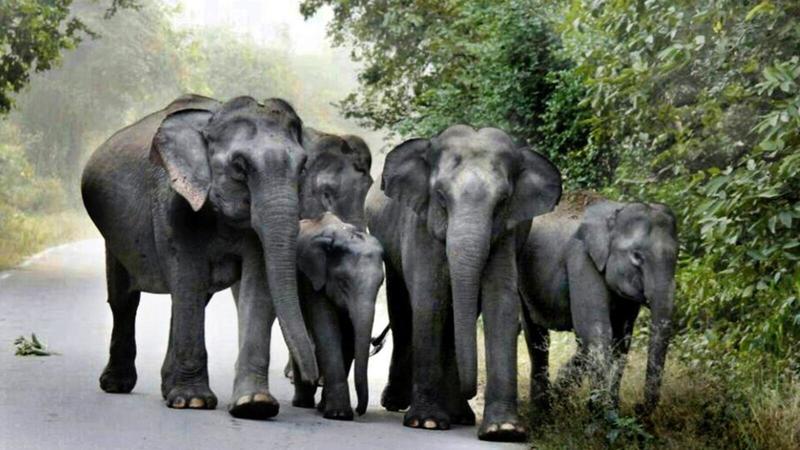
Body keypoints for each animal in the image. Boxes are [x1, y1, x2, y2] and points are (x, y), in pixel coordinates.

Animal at [81, 94, 318, 420]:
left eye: (303, 166)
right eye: (239, 166)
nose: (311, 380)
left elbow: (257, 283)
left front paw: (254, 405)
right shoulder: (173, 203)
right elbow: (188, 274)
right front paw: (193, 402)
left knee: (185, 299)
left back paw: (167, 388)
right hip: (113, 234)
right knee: (125, 299)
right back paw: (117, 385)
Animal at [289, 212, 384, 420]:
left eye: (381, 284)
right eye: (343, 282)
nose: (360, 410)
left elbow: (348, 338)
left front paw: (328, 409)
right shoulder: (313, 279)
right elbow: (327, 330)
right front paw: (338, 414)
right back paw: (302, 403)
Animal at [366, 125, 562, 442]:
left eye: (503, 202)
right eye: (441, 197)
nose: (472, 390)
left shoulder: (507, 233)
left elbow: (500, 302)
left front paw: (503, 431)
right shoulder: (419, 224)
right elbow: (430, 299)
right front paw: (426, 423)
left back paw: (460, 415)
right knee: (402, 311)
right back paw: (397, 402)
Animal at [518, 200, 678, 416]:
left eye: (677, 256)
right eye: (637, 256)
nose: (638, 407)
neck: (614, 213)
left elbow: (620, 339)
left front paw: (606, 409)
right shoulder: (582, 259)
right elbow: (595, 331)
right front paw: (603, 415)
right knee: (536, 336)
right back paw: (541, 411)